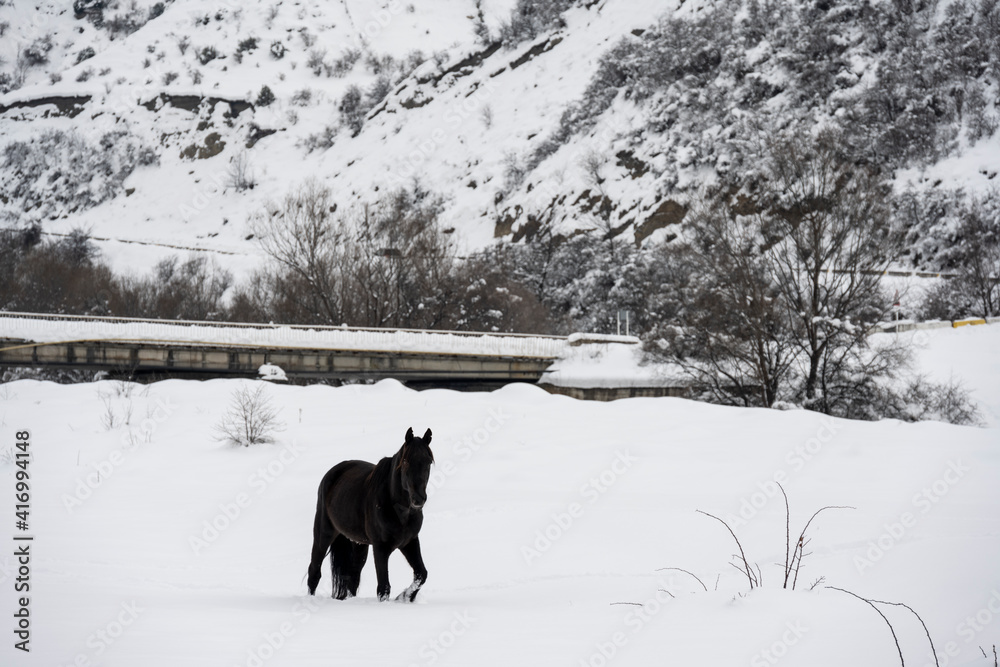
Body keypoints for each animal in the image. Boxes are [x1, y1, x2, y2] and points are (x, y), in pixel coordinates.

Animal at [307, 427, 434, 602]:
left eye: (428, 462)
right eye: (406, 461)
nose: (418, 499)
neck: (399, 511)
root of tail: (333, 472)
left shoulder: (409, 542)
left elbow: (422, 574)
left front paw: (405, 598)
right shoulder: (380, 547)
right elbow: (384, 587)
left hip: (359, 544)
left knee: (352, 577)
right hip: (324, 533)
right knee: (314, 571)